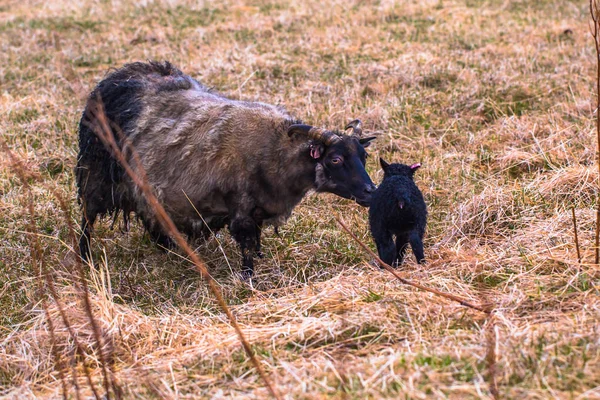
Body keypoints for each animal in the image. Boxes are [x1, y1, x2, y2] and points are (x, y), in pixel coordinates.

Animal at [75, 61, 376, 276]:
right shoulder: (241, 208)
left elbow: (254, 243)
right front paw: (248, 279)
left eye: (364, 157)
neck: (276, 151)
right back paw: (84, 258)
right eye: (335, 160)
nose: (371, 192)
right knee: (88, 218)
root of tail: (117, 77)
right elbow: (246, 247)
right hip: (95, 175)